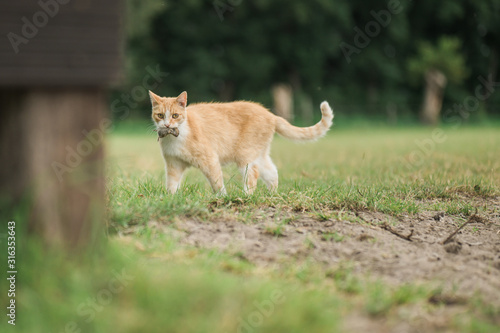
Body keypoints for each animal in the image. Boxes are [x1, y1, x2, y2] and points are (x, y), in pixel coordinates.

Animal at [150, 91, 334, 195]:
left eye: (175, 115)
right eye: (160, 115)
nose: (167, 125)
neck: (176, 137)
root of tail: (271, 115)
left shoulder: (209, 160)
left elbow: (216, 181)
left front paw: (222, 198)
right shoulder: (173, 165)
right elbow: (172, 184)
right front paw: (171, 198)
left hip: (245, 157)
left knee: (253, 175)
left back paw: (246, 196)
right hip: (259, 155)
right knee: (272, 172)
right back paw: (272, 195)